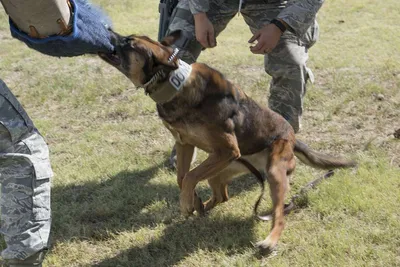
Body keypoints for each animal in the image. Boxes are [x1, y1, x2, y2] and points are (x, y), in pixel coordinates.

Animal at [100, 31, 356, 253]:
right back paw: (203, 208)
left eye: (129, 43)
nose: (107, 30)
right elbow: (182, 177)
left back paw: (270, 240)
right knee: (222, 195)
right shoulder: (185, 144)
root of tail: (293, 138)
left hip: (273, 171)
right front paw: (192, 201)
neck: (176, 84)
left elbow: (189, 176)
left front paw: (186, 203)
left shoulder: (227, 149)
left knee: (279, 215)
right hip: (221, 170)